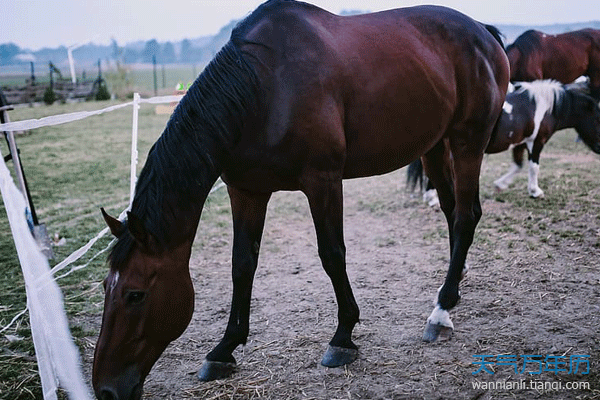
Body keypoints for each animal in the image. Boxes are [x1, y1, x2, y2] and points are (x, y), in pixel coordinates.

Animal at [91, 1, 508, 398]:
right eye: (105, 288)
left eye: (135, 294)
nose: (106, 389)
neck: (264, 87)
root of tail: (483, 33)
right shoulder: (247, 191)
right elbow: (242, 264)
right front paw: (224, 349)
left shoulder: (322, 181)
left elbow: (332, 254)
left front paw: (342, 338)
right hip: (435, 148)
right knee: (454, 212)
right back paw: (452, 287)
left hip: (467, 144)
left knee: (466, 216)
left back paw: (440, 312)